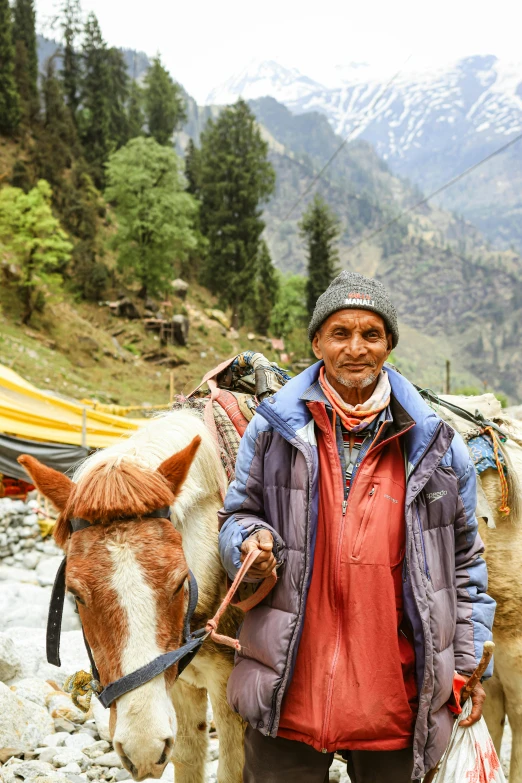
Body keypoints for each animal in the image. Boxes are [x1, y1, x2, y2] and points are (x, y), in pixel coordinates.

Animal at [20, 410, 244, 783]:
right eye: (75, 594)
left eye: (180, 582)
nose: (143, 747)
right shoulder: (180, 685)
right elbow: (188, 755)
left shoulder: (233, 692)